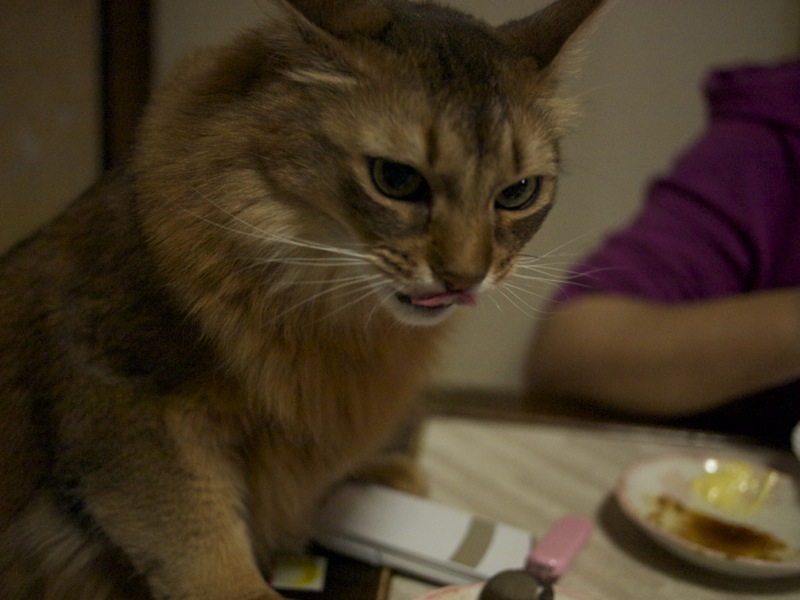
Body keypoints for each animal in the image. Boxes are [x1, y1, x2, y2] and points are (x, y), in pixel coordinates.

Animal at [0, 0, 605, 598]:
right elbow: (197, 540)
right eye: (396, 179)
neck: (326, 309)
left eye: (518, 193)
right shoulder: (124, 405)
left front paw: (383, 475)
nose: (465, 278)